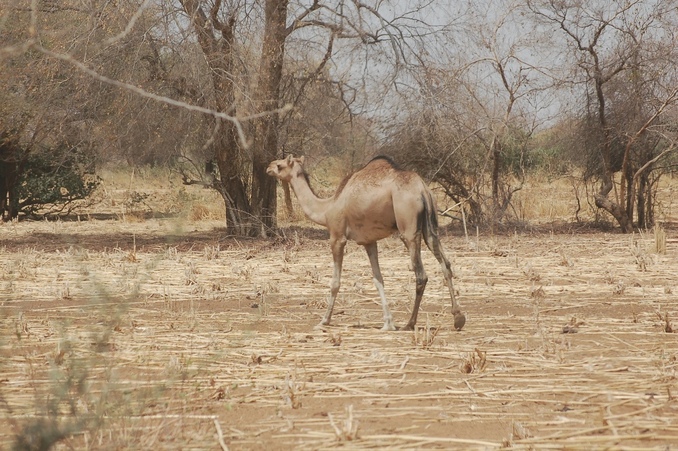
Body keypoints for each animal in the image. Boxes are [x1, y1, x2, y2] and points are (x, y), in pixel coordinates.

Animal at [266, 155, 468, 332]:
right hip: (430, 226)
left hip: (408, 227)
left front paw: (324, 321)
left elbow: (335, 282)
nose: (268, 167)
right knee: (445, 264)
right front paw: (388, 323)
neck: (327, 209)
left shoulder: (337, 236)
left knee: (421, 274)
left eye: (280, 165)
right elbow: (378, 279)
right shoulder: (369, 242)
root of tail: (422, 190)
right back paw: (458, 317)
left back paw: (410, 323)